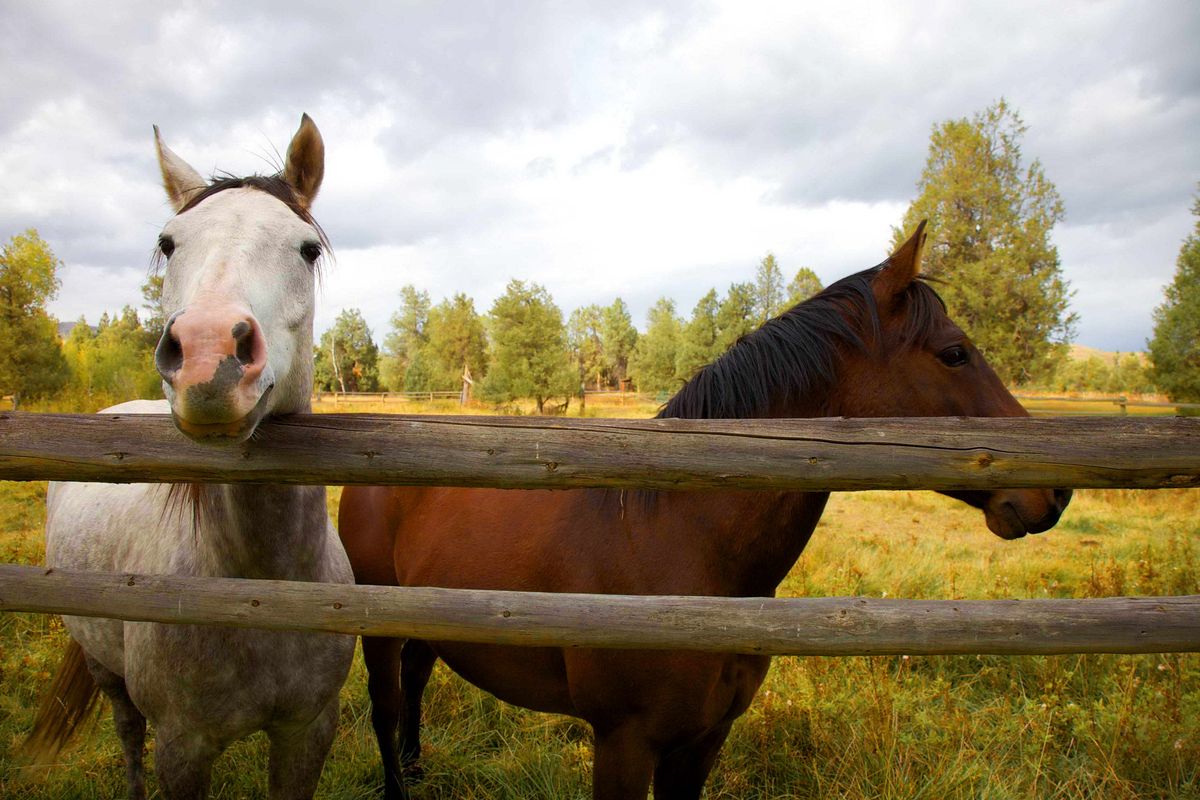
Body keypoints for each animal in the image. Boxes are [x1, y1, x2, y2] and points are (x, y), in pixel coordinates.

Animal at [25, 113, 352, 800]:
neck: (258, 589)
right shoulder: (183, 747)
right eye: (169, 243)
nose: (207, 354)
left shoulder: (309, 730)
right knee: (127, 732)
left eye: (307, 249)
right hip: (103, 665)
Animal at [338, 224, 1070, 800]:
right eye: (954, 353)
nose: (1055, 493)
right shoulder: (625, 743)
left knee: (416, 685)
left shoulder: (705, 740)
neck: (682, 545)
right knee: (386, 708)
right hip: (378, 627)